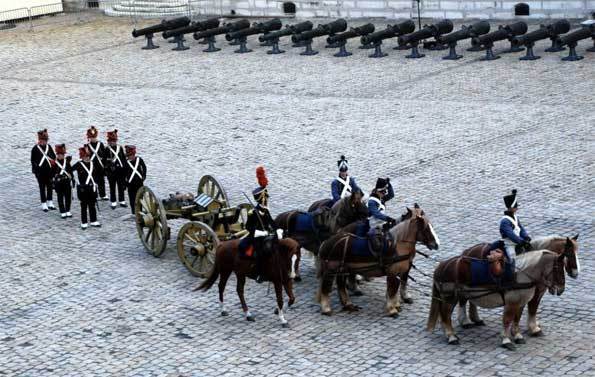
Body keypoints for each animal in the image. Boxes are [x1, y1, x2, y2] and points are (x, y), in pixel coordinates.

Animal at [428, 248, 568, 348]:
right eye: (558, 269)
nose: (561, 289)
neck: (520, 275)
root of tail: (441, 266)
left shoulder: (520, 303)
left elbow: (516, 320)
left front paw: (518, 336)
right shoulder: (511, 304)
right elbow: (507, 320)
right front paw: (506, 340)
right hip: (449, 298)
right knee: (445, 315)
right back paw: (451, 337)